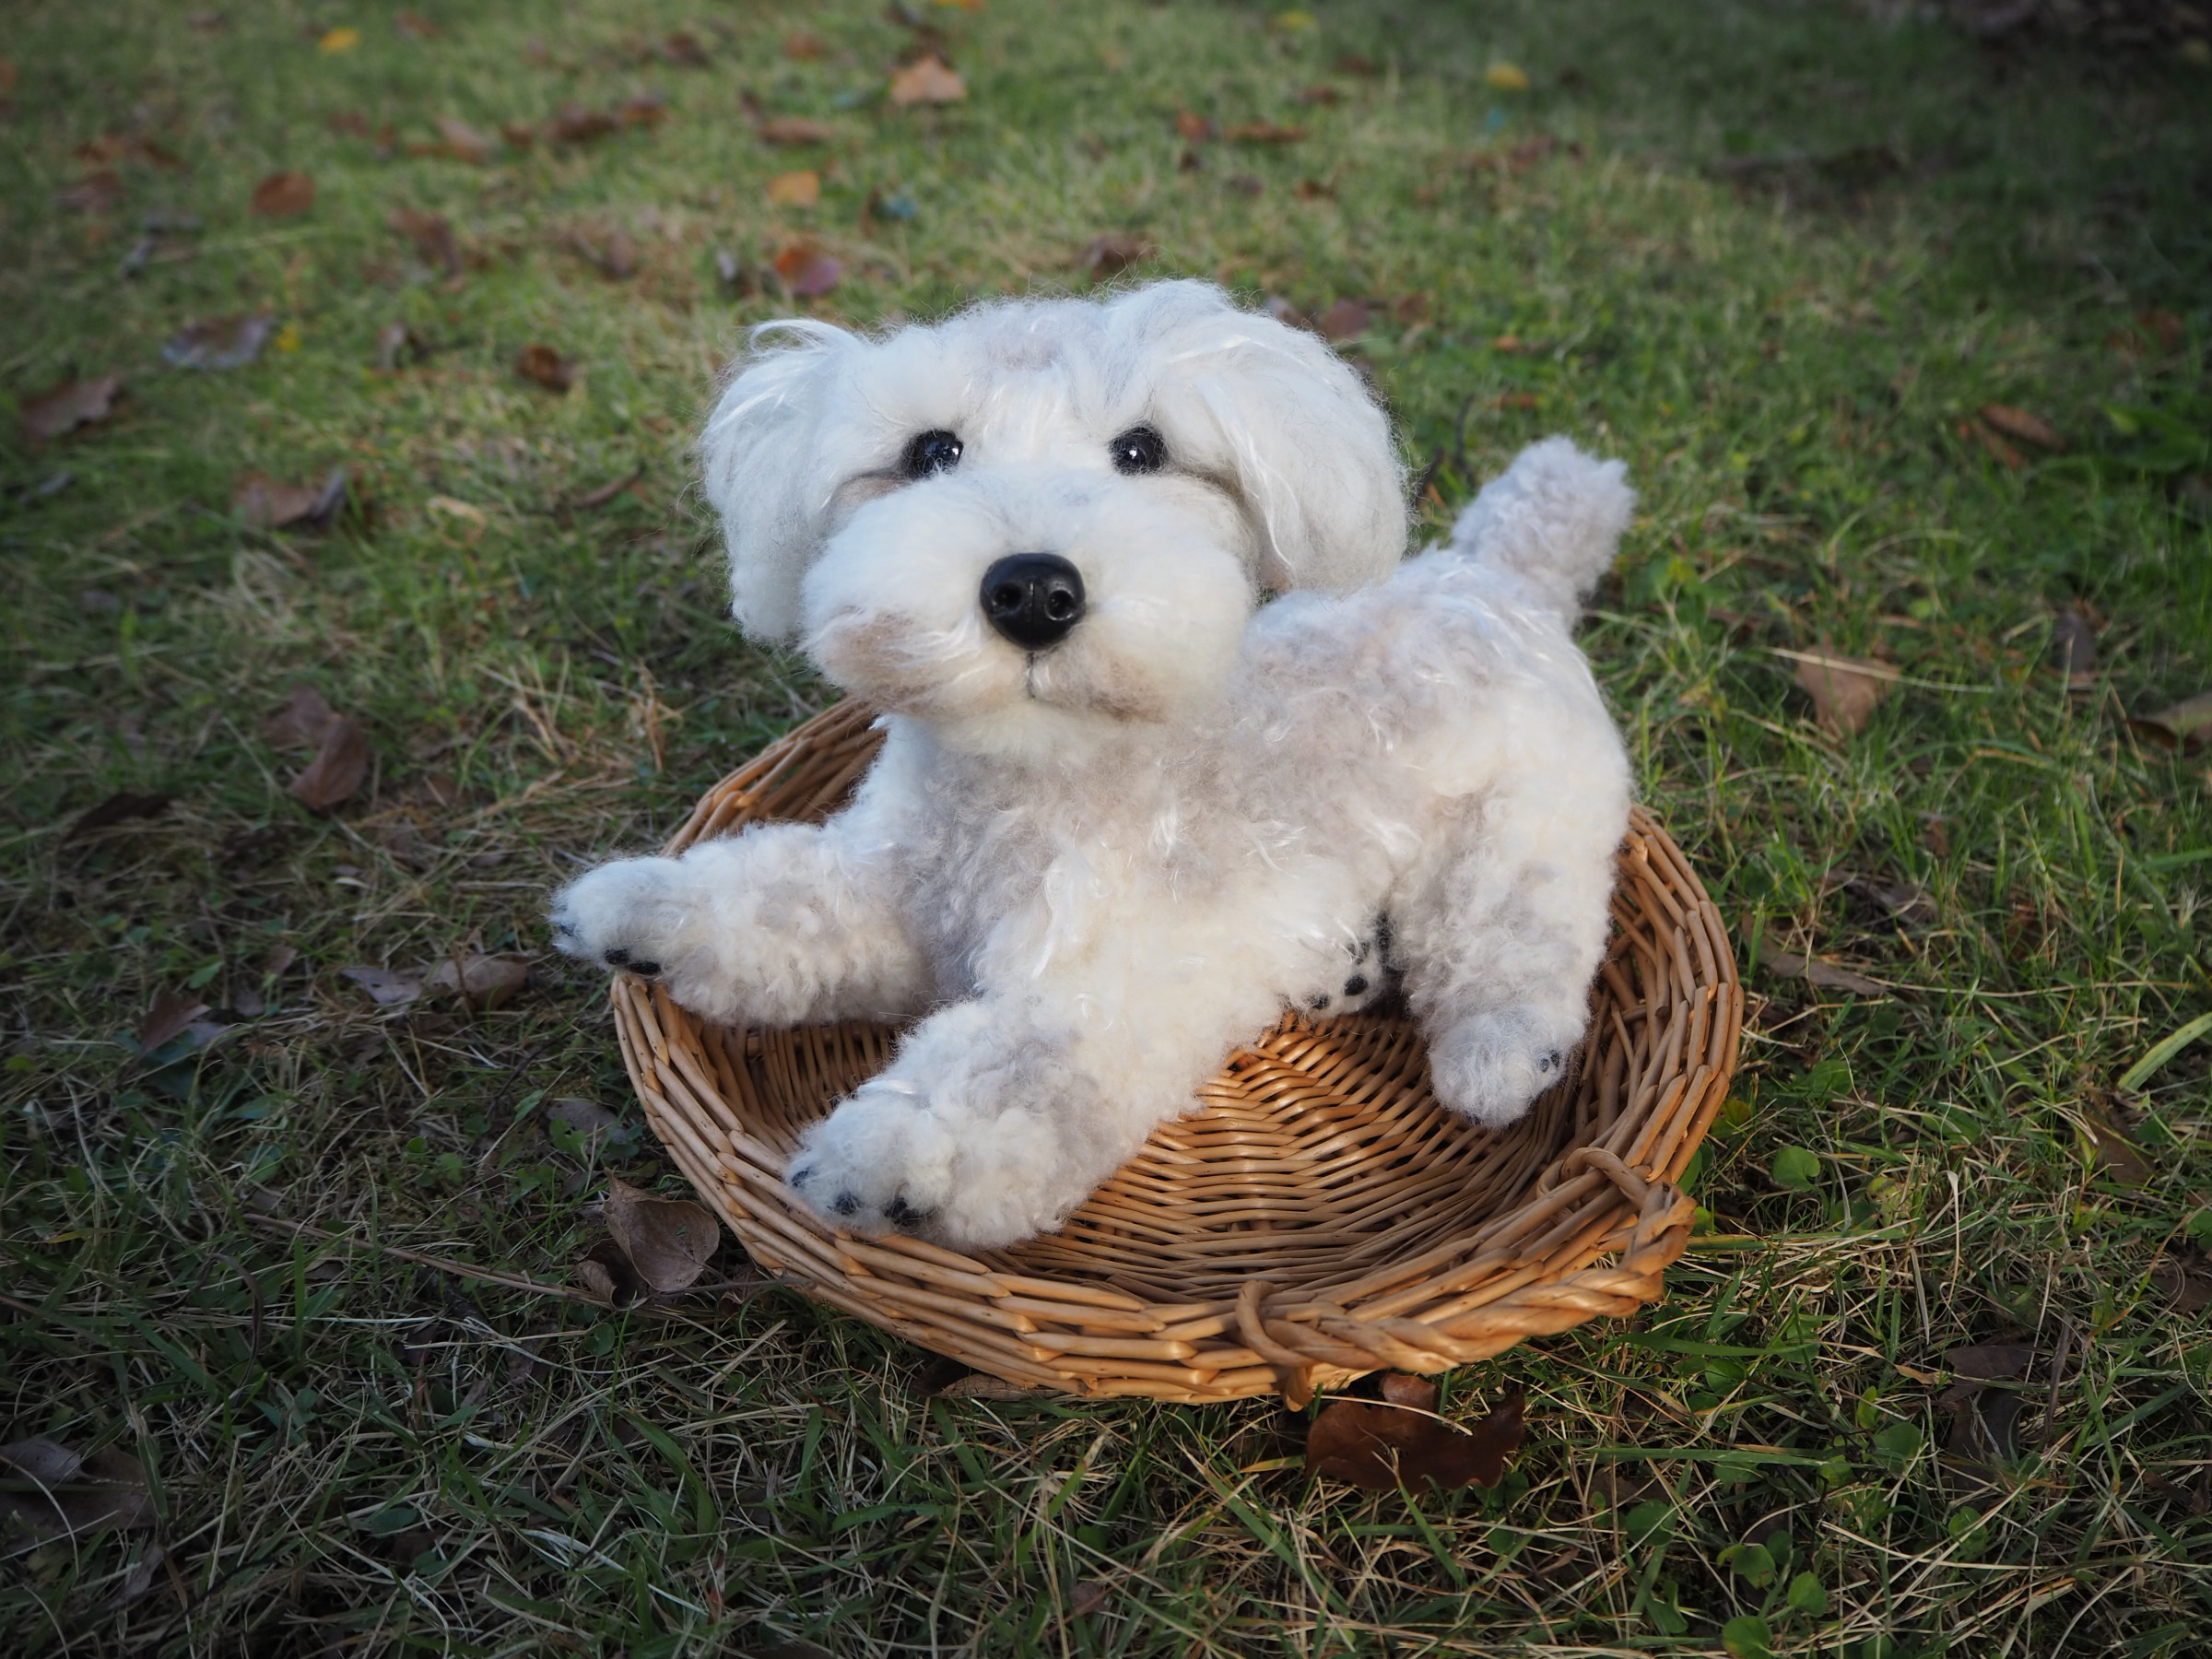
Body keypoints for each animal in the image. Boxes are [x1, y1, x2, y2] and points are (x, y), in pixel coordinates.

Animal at [546, 279, 1637, 1256]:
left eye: (1142, 451)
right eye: (930, 453)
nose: (1033, 590)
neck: (1033, 786)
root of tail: (1497, 571)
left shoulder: (1122, 982)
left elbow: (1024, 1066)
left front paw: (896, 1154)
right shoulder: (894, 893)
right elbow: (779, 897)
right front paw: (642, 909)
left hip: (1525, 829)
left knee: (1516, 938)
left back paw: (1500, 1056)